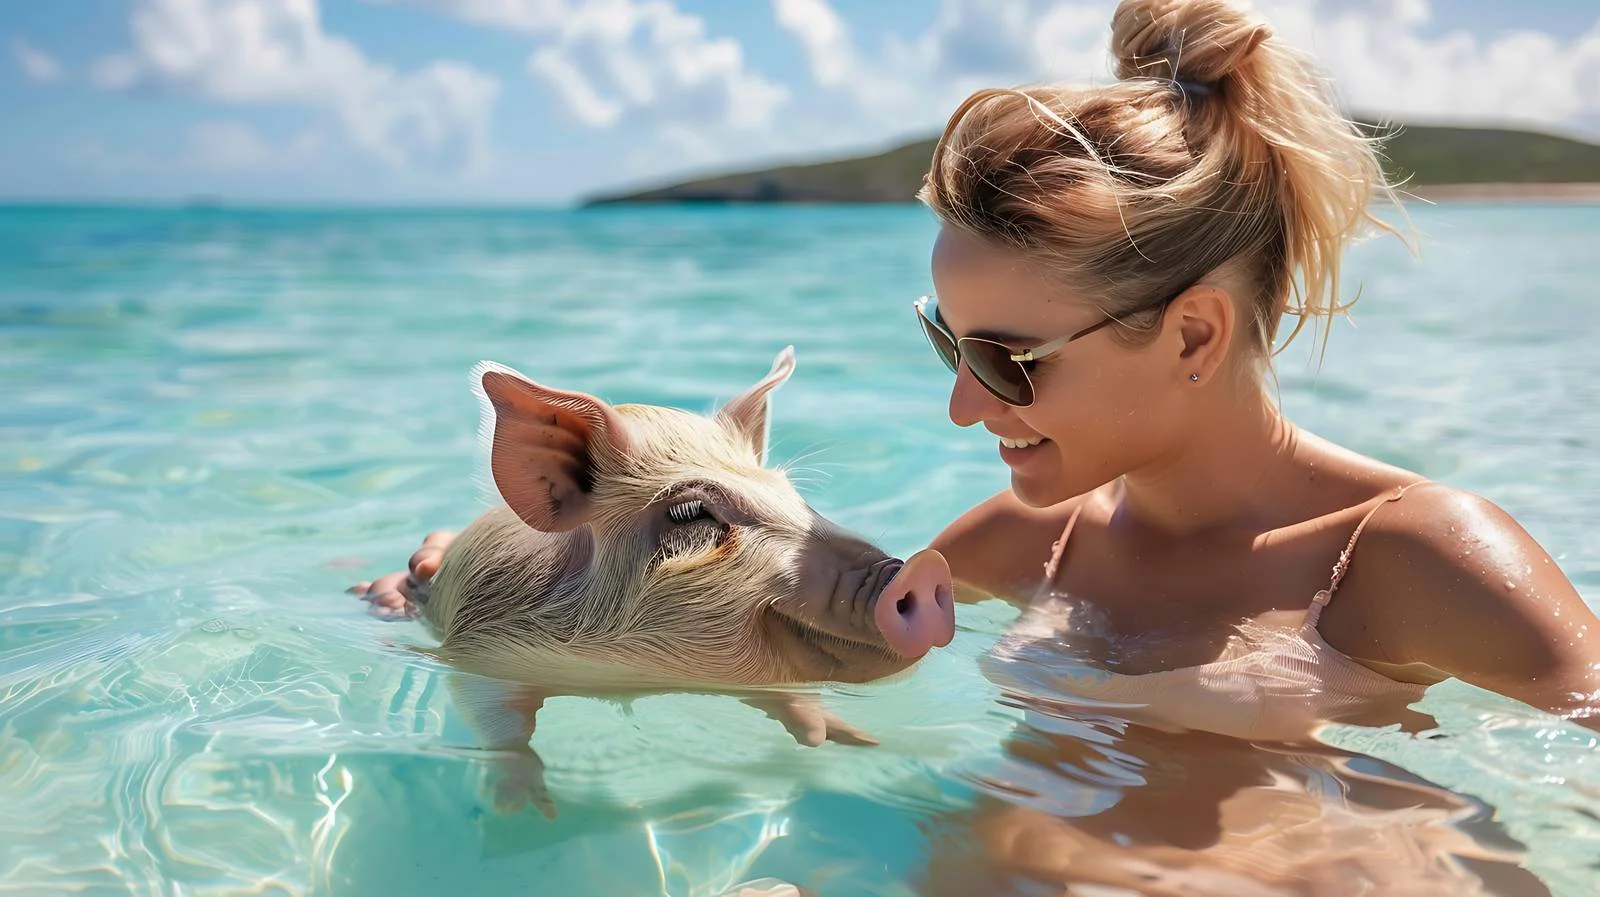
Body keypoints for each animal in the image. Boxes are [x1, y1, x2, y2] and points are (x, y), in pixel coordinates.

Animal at [356, 346, 956, 817]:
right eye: (690, 514)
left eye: (795, 496)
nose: (922, 569)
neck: (628, 674)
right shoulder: (479, 653)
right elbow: (499, 728)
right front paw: (524, 810)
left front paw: (851, 740)